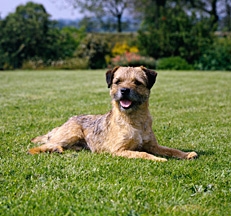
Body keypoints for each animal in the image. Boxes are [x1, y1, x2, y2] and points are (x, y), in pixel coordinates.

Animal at [28, 66, 197, 162]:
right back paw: (53, 149)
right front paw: (158, 159)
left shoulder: (153, 145)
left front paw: (187, 154)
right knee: (38, 147)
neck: (134, 119)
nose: (124, 90)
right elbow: (142, 154)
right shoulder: (119, 150)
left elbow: (171, 150)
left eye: (137, 82)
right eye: (118, 81)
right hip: (72, 133)